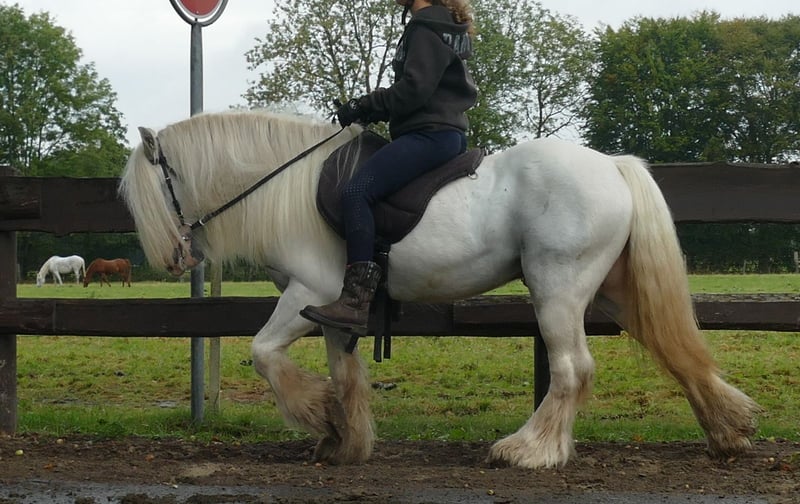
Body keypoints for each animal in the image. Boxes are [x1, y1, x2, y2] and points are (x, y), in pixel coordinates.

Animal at [119, 110, 758, 469]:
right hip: (614, 288)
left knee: (573, 369)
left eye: (159, 187)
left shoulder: (305, 293)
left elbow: (263, 353)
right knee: (673, 349)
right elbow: (345, 373)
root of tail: (612, 166)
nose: (174, 258)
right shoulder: (333, 309)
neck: (287, 185)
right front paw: (343, 440)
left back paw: (530, 451)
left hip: (557, 289)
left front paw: (318, 416)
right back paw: (729, 431)